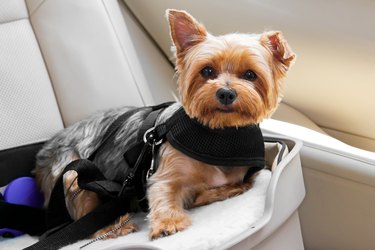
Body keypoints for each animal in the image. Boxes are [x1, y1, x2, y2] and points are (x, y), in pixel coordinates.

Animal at [33, 9, 296, 240]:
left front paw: (217, 192)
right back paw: (115, 227)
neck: (217, 133)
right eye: (207, 71)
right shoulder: (164, 172)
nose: (225, 93)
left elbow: (234, 184)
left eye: (250, 75)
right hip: (71, 172)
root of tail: (44, 150)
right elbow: (163, 191)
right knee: (83, 218)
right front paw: (168, 223)